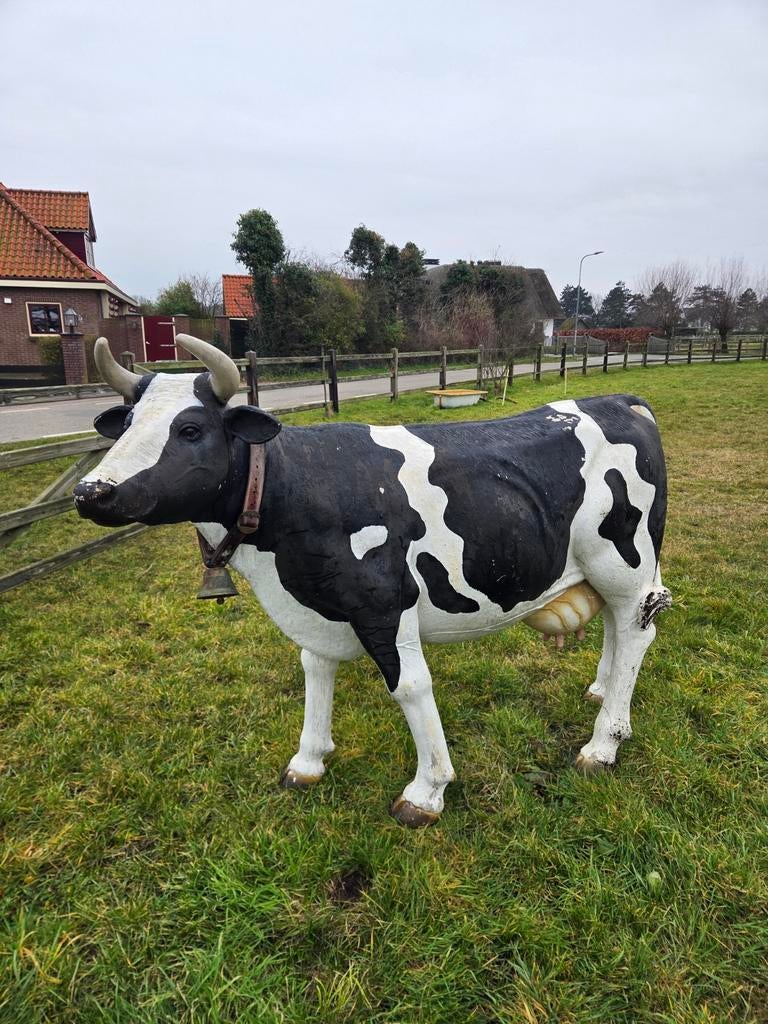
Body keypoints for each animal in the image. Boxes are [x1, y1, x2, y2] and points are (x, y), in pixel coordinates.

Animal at [74, 335, 671, 827]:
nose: (91, 491)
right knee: (617, 627)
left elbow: (409, 686)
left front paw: (427, 790)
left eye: (190, 429)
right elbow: (315, 669)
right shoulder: (319, 607)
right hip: (605, 569)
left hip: (624, 561)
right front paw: (308, 760)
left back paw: (604, 743)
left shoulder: (384, 604)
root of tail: (618, 400)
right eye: (126, 424)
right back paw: (602, 691)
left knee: (637, 628)